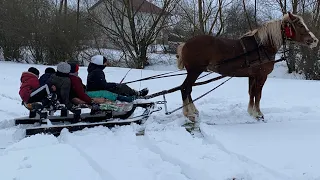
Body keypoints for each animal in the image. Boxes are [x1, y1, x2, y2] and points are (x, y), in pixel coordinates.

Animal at [176, 12, 318, 121]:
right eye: (300, 25)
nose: (315, 40)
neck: (262, 47)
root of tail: (186, 44)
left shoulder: (252, 76)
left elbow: (251, 93)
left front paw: (251, 112)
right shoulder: (261, 76)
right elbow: (258, 94)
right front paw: (258, 114)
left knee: (188, 89)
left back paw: (193, 110)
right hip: (195, 71)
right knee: (185, 88)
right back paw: (188, 113)